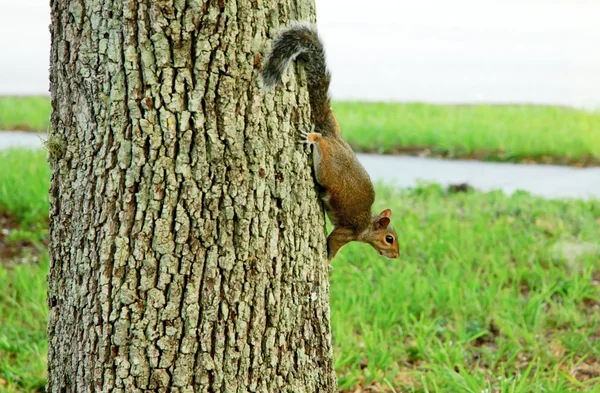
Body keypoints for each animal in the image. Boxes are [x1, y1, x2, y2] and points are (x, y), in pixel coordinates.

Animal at [258, 20, 398, 260]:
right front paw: (329, 261)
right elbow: (333, 244)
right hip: (328, 168)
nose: (396, 256)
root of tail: (334, 136)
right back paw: (313, 137)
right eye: (389, 239)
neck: (367, 226)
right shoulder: (346, 232)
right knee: (321, 142)